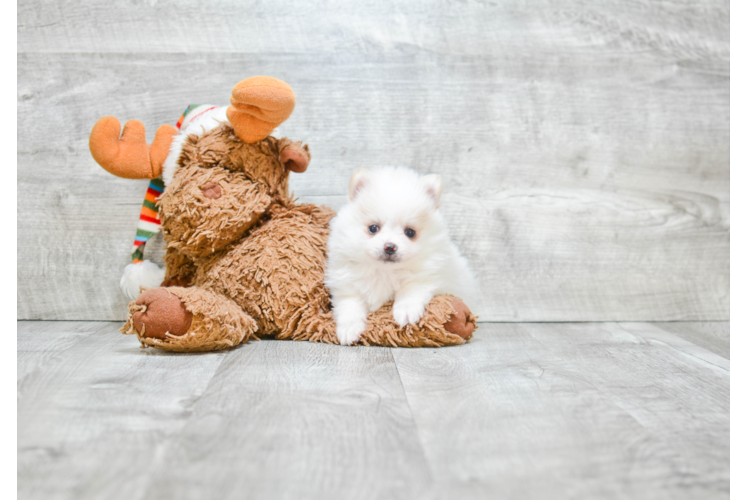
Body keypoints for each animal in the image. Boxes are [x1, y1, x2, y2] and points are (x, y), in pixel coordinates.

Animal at [324, 166, 476, 346]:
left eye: (410, 232)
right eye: (373, 228)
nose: (390, 247)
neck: (384, 271)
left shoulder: (428, 275)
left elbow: (410, 290)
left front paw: (406, 312)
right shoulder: (347, 284)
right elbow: (349, 305)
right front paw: (349, 329)